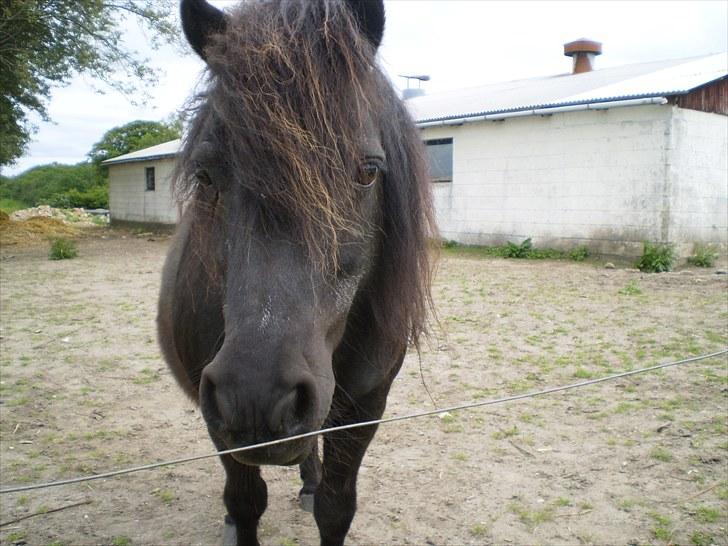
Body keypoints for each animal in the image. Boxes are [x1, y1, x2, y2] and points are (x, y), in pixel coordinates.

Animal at [157, 2, 436, 540]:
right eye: (204, 175)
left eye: (368, 171)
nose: (255, 397)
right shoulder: (218, 419)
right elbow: (245, 501)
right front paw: (237, 516)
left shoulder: (363, 410)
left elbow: (336, 506)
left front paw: (320, 494)